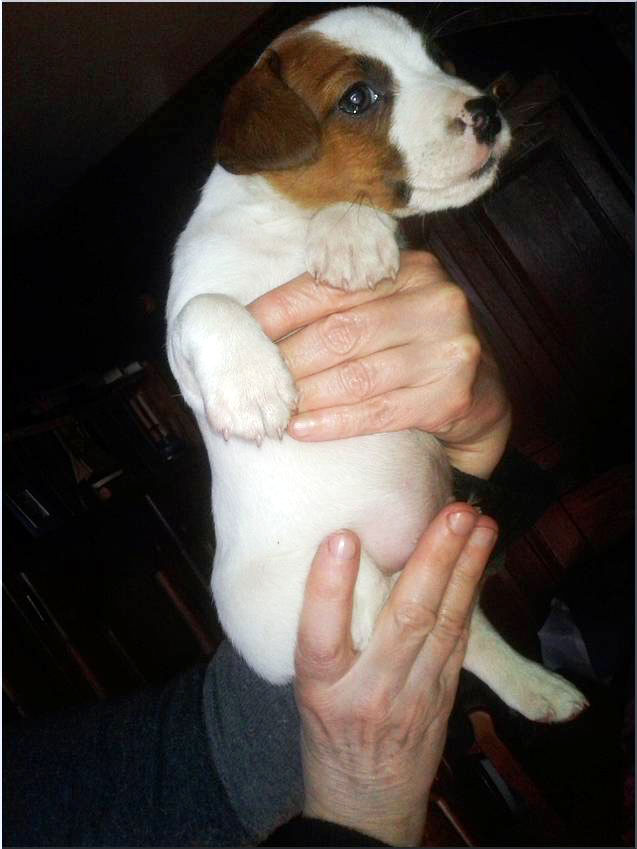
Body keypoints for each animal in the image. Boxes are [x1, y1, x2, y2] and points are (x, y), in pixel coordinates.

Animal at [167, 6, 587, 722]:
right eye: (357, 98)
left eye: (439, 59)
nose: (488, 110)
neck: (286, 224)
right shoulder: (181, 332)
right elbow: (204, 308)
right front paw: (252, 388)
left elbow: (362, 214)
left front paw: (349, 233)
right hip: (300, 591)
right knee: (377, 609)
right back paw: (378, 602)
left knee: (471, 637)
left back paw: (540, 689)